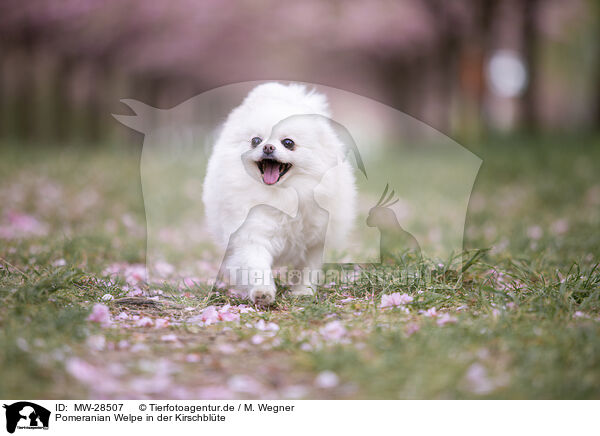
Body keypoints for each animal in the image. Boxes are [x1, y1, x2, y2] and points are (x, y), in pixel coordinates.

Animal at [205, 83, 356, 304]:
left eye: (288, 143)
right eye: (255, 140)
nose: (267, 147)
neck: (284, 194)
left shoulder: (315, 240)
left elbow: (307, 269)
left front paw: (303, 292)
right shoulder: (251, 233)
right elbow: (256, 264)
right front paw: (263, 292)